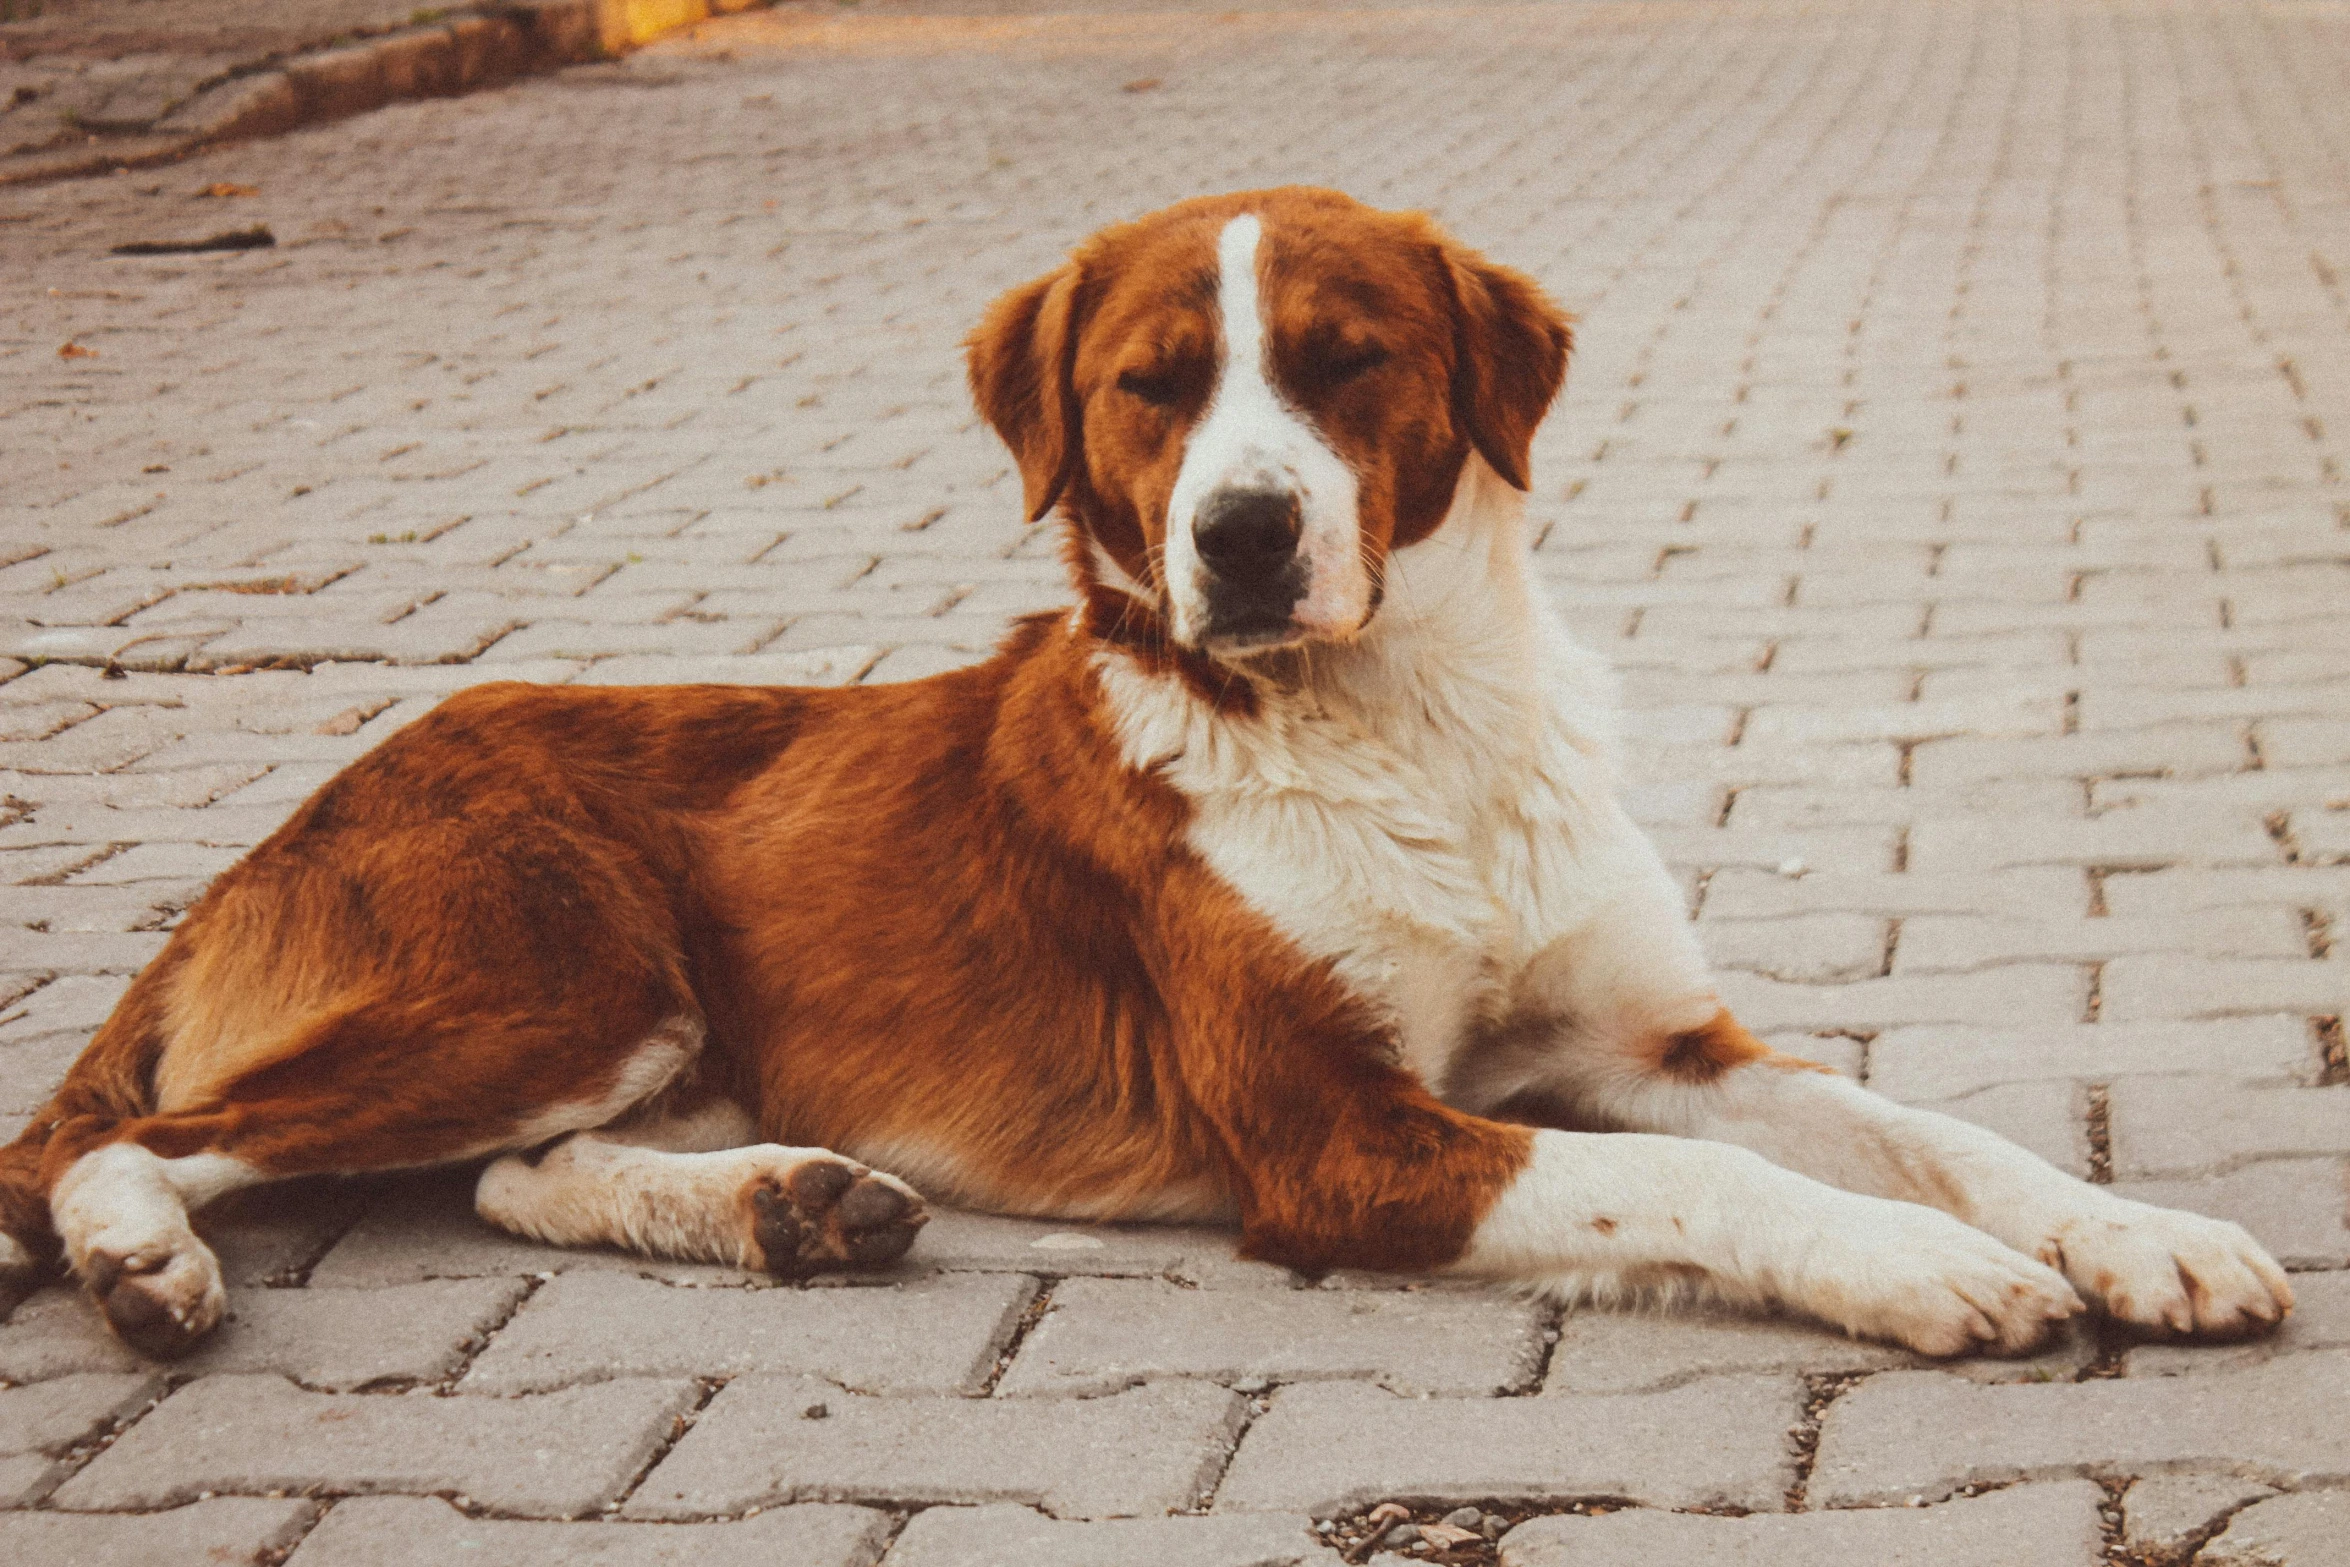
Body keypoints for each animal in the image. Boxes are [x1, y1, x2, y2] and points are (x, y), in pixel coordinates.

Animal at [0, 186, 2284, 1362]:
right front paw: (1933, 1273)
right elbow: (1730, 1185)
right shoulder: (1336, 1143)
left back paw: (788, 1203)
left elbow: (1926, 1128)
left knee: (507, 1175)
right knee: (96, 1149)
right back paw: (142, 1261)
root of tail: (315, 798)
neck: (1405, 725)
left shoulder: (1657, 1038)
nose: (1243, 537)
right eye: (1147, 390)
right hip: (547, 974)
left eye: (1350, 361)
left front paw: (2136, 1234)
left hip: (631, 1027)